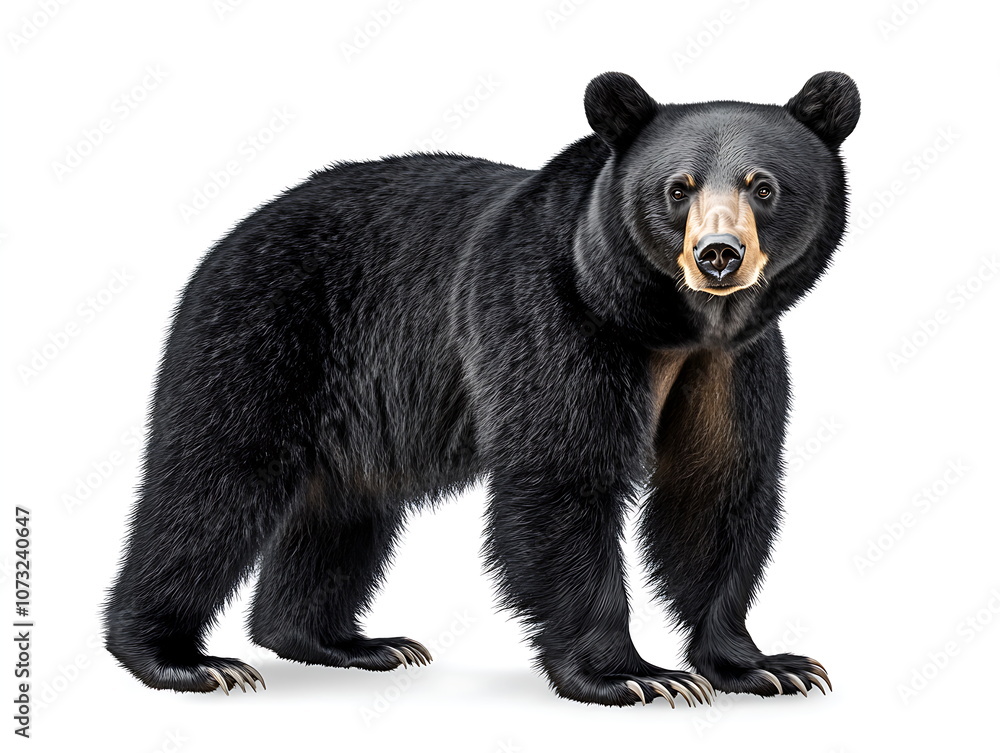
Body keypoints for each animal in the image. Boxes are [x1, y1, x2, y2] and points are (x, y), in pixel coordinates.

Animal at [104, 70, 859, 707]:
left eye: (763, 185)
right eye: (679, 187)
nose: (719, 255)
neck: (663, 323)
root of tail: (234, 233)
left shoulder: (731, 364)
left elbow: (716, 488)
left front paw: (764, 664)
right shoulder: (549, 313)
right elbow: (562, 475)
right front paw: (633, 674)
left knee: (343, 509)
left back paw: (343, 641)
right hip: (266, 332)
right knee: (213, 482)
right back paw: (178, 656)